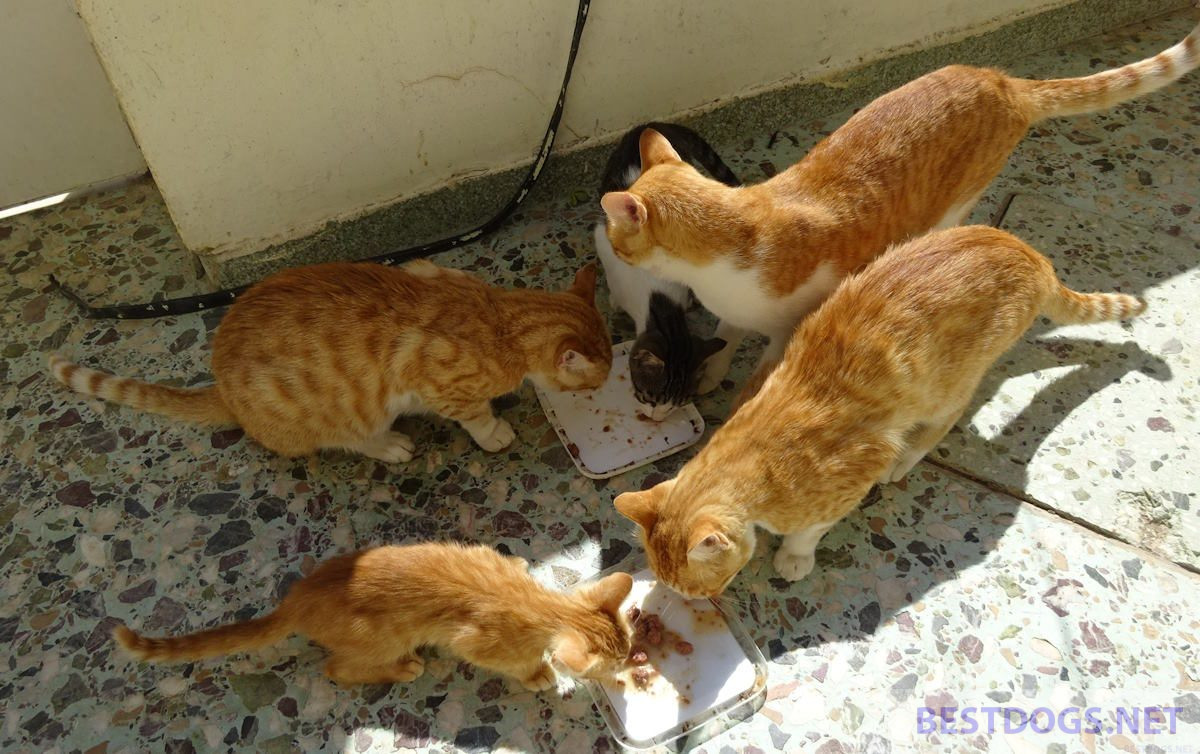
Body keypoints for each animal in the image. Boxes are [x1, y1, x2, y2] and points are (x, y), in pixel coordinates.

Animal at [46, 261, 609, 463]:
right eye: (596, 381)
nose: (603, 390)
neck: (499, 315)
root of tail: (224, 390)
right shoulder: (443, 383)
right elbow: (475, 415)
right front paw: (494, 431)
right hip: (338, 414)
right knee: (349, 437)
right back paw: (390, 445)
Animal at [114, 542, 638, 691]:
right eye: (615, 663)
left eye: (630, 651)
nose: (631, 668)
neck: (531, 599)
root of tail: (297, 597)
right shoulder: (476, 641)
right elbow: (513, 662)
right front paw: (538, 674)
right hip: (379, 638)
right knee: (336, 668)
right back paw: (401, 668)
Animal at [592, 121, 734, 420]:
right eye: (650, 396)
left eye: (680, 402)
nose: (656, 418)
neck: (658, 296)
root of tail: (649, 125)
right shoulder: (605, 242)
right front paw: (614, 301)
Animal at [600, 22, 1200, 389]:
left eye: (614, 238)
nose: (606, 246)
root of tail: (1003, 82)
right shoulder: (736, 311)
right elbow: (725, 337)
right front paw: (711, 371)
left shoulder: (787, 328)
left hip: (952, 205)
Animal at [614, 226, 1147, 597]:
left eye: (691, 585)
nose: (696, 601)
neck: (754, 449)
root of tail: (1027, 252)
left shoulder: (849, 479)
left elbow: (810, 530)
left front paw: (794, 556)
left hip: (947, 387)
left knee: (943, 421)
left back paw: (906, 459)